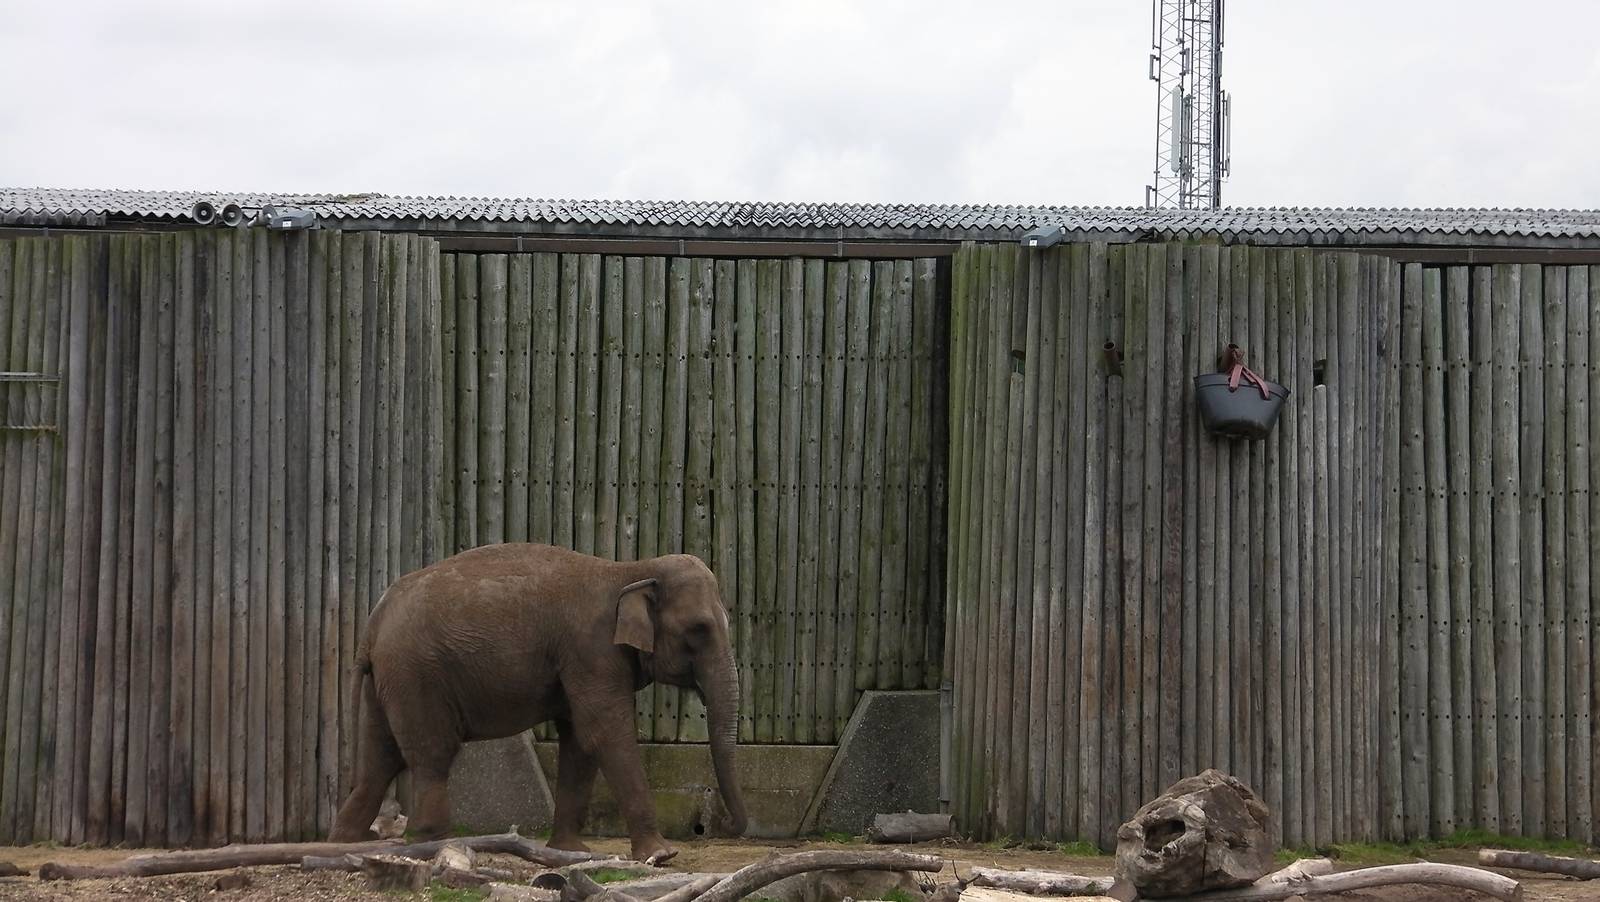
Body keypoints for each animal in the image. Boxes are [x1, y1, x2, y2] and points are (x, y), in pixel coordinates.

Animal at [326, 542, 748, 864]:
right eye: (699, 629)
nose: (725, 826)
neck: (631, 569)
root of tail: (372, 625)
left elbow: (579, 741)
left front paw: (572, 852)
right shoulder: (591, 650)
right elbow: (604, 734)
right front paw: (660, 855)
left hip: (389, 680)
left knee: (380, 759)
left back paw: (346, 842)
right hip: (417, 675)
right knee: (431, 753)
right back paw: (436, 841)